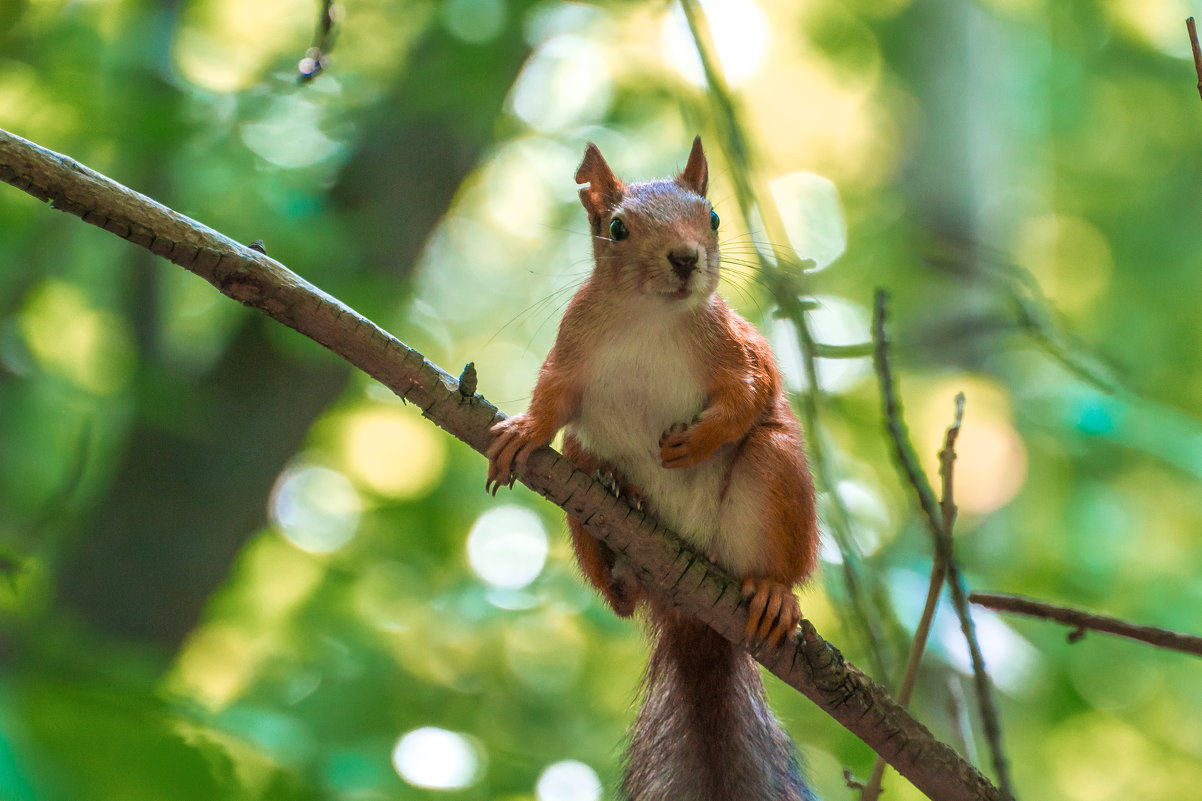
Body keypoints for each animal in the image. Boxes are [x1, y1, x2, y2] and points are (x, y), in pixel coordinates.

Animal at [485, 137, 817, 798]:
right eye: (616, 227)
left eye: (712, 217)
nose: (687, 258)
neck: (648, 317)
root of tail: (691, 611)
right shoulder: (571, 352)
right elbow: (552, 401)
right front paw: (524, 431)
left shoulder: (736, 347)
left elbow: (752, 391)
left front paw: (700, 438)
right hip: (582, 473)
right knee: (618, 593)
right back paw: (621, 502)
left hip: (772, 475)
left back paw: (773, 591)